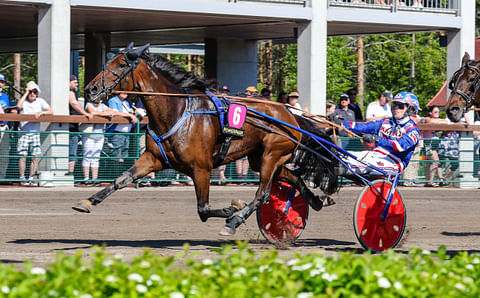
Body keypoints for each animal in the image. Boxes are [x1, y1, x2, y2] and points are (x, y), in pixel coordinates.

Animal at [72, 43, 338, 236]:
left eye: (119, 65)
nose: (90, 90)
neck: (177, 111)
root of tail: (289, 114)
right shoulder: (153, 159)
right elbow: (121, 179)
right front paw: (87, 201)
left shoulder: (201, 168)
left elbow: (203, 209)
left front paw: (233, 209)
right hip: (259, 158)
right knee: (292, 177)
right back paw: (317, 200)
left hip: (271, 155)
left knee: (262, 195)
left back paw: (234, 222)